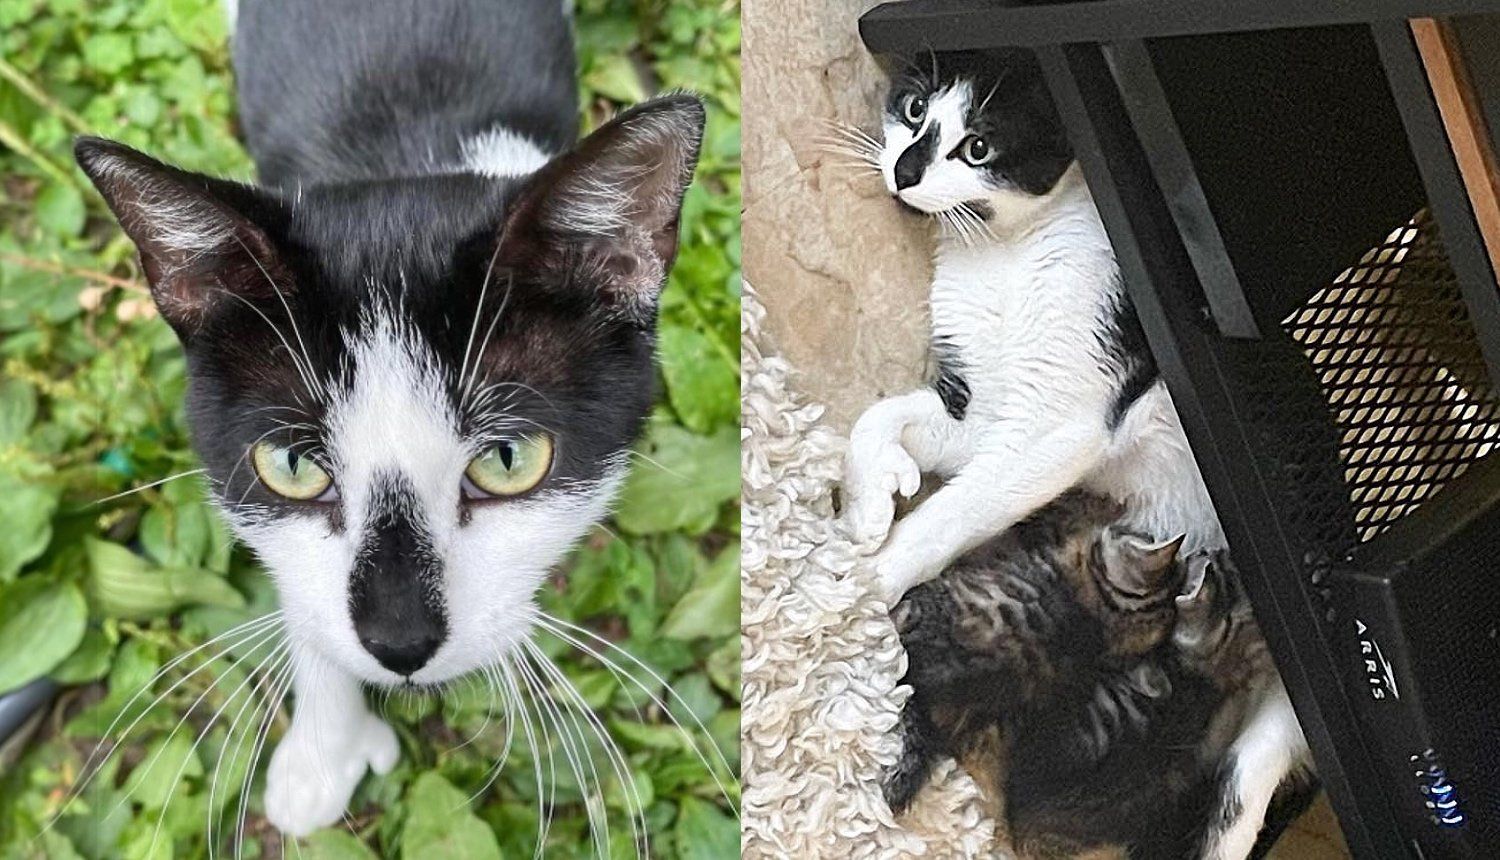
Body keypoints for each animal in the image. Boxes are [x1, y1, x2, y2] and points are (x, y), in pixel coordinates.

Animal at [71, 0, 702, 834]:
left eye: (508, 459)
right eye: (293, 466)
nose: (400, 643)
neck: (405, 154)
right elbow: (303, 597)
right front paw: (321, 756)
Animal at [846, 48, 1314, 858]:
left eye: (979, 148)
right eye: (914, 110)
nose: (905, 170)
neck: (1003, 254)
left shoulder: (1063, 423)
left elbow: (958, 512)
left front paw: (871, 579)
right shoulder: (985, 410)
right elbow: (886, 418)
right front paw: (875, 493)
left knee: (1244, 786)